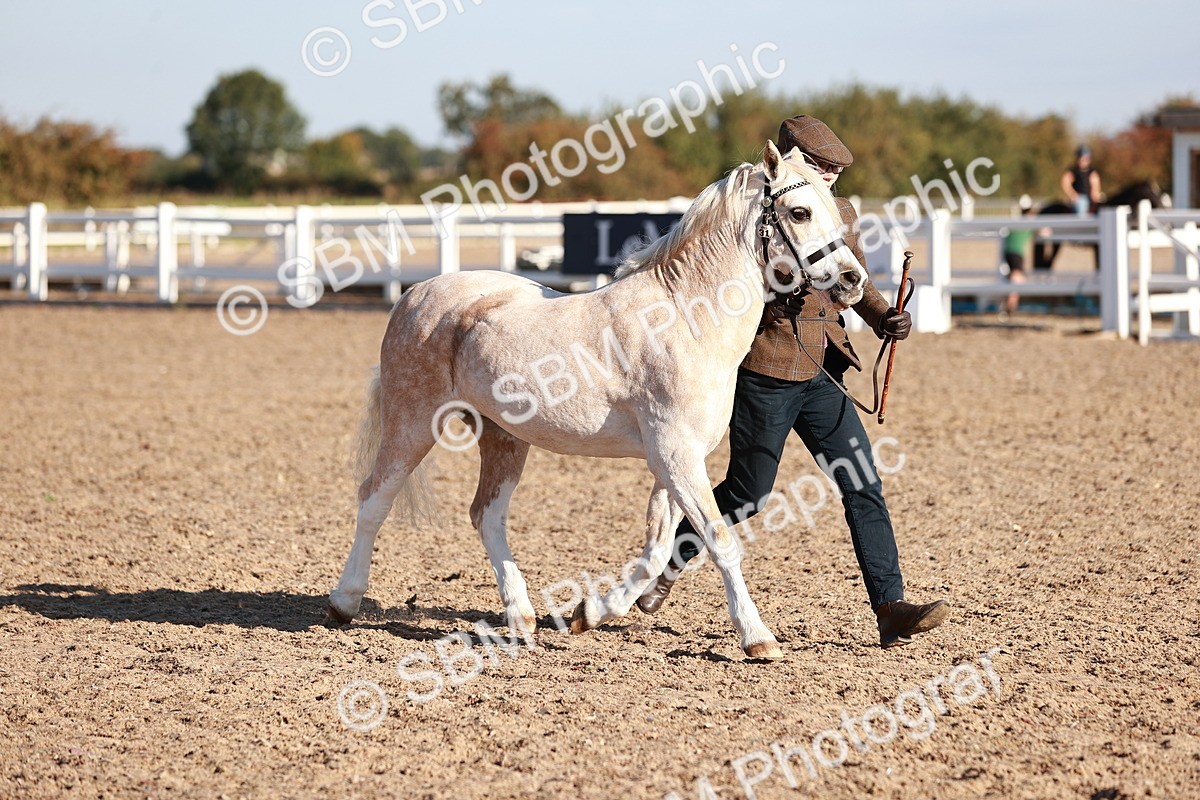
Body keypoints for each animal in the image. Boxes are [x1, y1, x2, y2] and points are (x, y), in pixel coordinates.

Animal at [325, 140, 868, 659]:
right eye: (800, 212)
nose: (852, 280)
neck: (686, 318)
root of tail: (413, 294)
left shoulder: (673, 461)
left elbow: (657, 547)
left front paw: (592, 612)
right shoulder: (674, 455)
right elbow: (719, 539)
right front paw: (758, 639)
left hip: (503, 437)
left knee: (487, 515)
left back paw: (521, 619)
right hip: (413, 423)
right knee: (374, 500)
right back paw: (344, 601)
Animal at [1033, 181, 1166, 269]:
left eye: (1158, 192)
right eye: (1150, 192)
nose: (1163, 207)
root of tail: (1043, 211)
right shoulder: (1097, 247)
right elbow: (1098, 266)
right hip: (1055, 243)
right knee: (1047, 263)